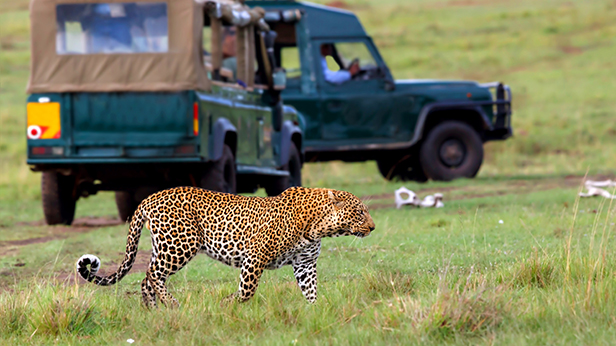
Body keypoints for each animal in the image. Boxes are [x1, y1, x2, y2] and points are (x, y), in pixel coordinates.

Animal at [76, 185, 376, 306]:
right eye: (360, 212)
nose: (373, 227)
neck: (319, 226)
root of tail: (148, 198)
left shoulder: (305, 264)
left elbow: (311, 292)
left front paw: (316, 311)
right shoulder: (255, 257)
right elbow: (247, 290)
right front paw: (227, 304)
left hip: (164, 245)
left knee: (146, 278)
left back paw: (153, 310)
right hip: (180, 245)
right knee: (152, 274)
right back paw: (172, 304)